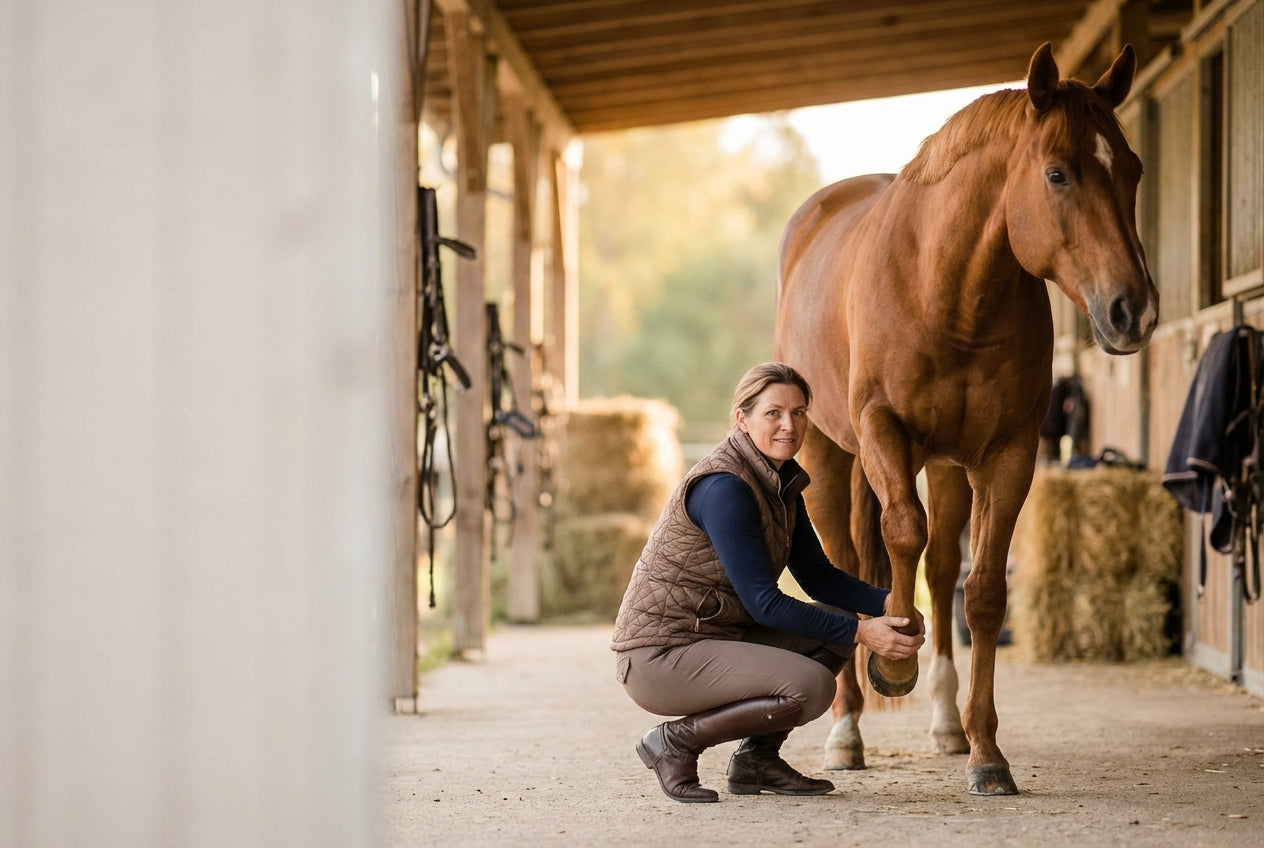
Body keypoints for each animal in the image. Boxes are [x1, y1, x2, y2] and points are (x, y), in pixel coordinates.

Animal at [774, 42, 1157, 796]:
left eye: (1131, 168)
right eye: (1058, 172)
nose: (1134, 309)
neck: (946, 289)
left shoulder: (1005, 455)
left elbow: (979, 592)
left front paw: (986, 751)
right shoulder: (883, 430)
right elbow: (897, 532)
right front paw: (893, 658)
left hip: (948, 466)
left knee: (941, 563)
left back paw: (947, 724)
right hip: (828, 454)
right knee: (849, 559)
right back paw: (846, 726)